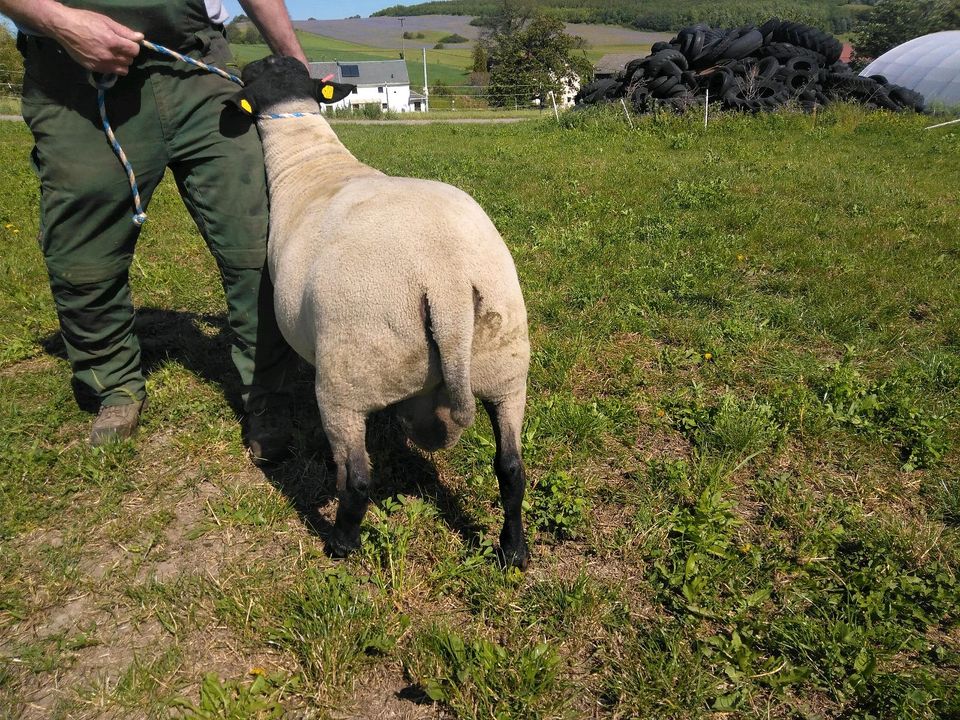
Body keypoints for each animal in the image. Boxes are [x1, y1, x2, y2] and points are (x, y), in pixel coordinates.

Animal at [232, 56, 532, 568]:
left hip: (349, 379)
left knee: (356, 479)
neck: (310, 161)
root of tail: (446, 280)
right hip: (505, 364)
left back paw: (340, 545)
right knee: (511, 467)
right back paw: (513, 550)